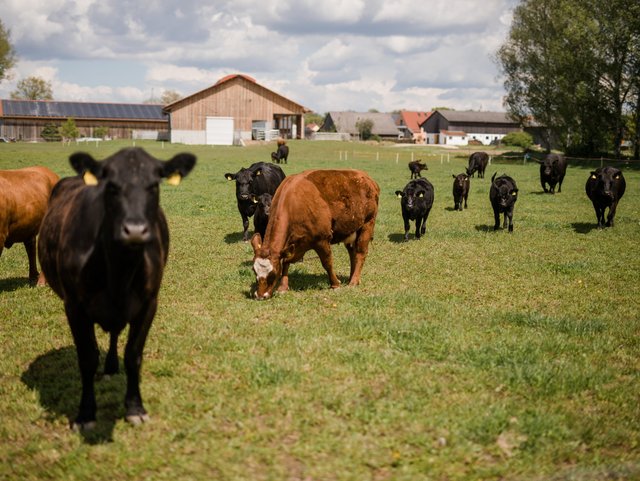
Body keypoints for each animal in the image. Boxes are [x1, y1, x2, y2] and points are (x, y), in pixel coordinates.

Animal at [37, 146, 196, 428]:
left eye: (154, 185)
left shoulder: (148, 303)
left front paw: (135, 407)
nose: (135, 230)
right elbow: (87, 358)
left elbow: (133, 355)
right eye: (111, 186)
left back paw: (112, 366)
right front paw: (86, 414)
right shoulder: (74, 306)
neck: (119, 274)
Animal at [250, 167, 380, 298]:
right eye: (254, 270)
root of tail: (368, 179)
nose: (260, 295)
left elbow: (327, 262)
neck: (293, 204)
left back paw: (353, 281)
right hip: (350, 230)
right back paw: (353, 278)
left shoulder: (321, 239)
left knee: (360, 253)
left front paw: (335, 284)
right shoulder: (296, 243)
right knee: (352, 253)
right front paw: (283, 287)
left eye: (273, 273)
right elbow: (286, 261)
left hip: (367, 224)